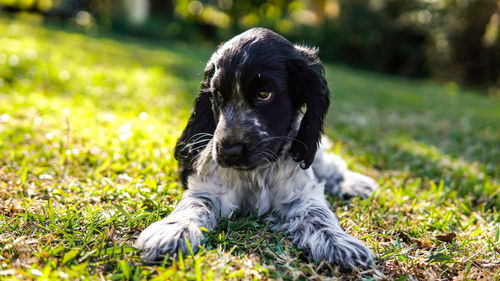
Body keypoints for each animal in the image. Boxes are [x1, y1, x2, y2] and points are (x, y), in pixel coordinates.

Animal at [135, 27, 376, 268]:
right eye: (218, 95)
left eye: (264, 94)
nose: (228, 152)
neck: (256, 172)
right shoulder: (211, 187)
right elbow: (195, 204)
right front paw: (172, 232)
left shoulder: (300, 192)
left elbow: (317, 213)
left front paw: (338, 242)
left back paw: (357, 184)